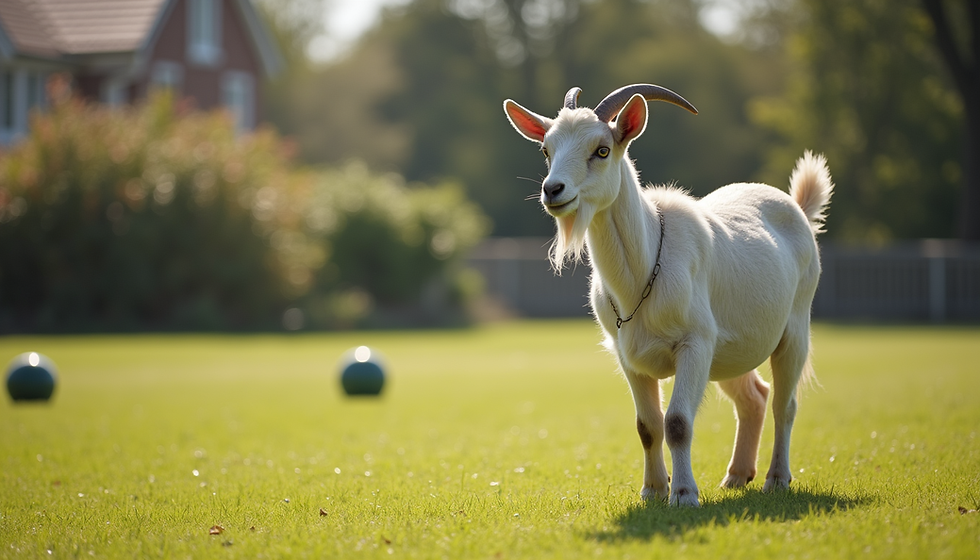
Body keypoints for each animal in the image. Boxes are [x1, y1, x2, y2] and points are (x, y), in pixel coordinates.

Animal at [503, 84, 833, 506]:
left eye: (602, 150)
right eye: (546, 150)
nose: (553, 190)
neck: (641, 273)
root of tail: (799, 208)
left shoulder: (696, 343)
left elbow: (677, 422)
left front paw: (685, 494)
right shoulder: (629, 356)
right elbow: (647, 425)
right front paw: (653, 490)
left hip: (793, 329)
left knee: (783, 404)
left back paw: (776, 479)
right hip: (730, 350)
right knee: (754, 397)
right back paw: (736, 476)